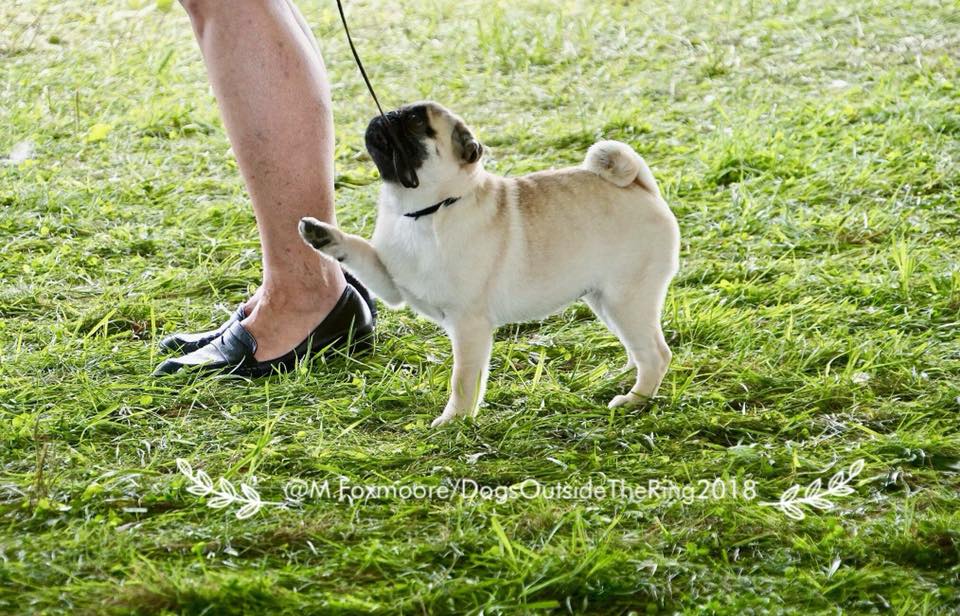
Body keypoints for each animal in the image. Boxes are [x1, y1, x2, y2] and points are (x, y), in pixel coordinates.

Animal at [296, 102, 680, 428]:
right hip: (604, 300)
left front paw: (455, 421)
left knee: (656, 353)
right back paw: (624, 378)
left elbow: (464, 379)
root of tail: (639, 186)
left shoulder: (468, 325)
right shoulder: (391, 284)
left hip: (626, 298)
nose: (386, 115)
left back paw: (636, 399)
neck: (426, 212)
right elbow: (359, 250)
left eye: (417, 123)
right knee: (638, 348)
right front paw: (323, 235)